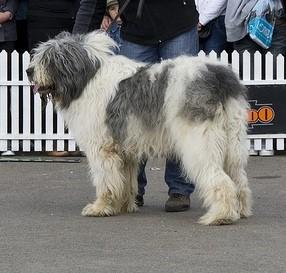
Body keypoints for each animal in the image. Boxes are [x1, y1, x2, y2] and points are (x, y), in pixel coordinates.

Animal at [25, 30, 251, 224]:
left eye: (48, 59)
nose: (28, 71)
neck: (87, 79)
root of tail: (219, 76)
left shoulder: (102, 149)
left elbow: (105, 181)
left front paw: (100, 207)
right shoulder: (124, 150)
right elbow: (124, 180)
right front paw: (122, 205)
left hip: (199, 144)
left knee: (220, 179)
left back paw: (221, 215)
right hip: (233, 140)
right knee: (238, 178)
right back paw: (240, 209)